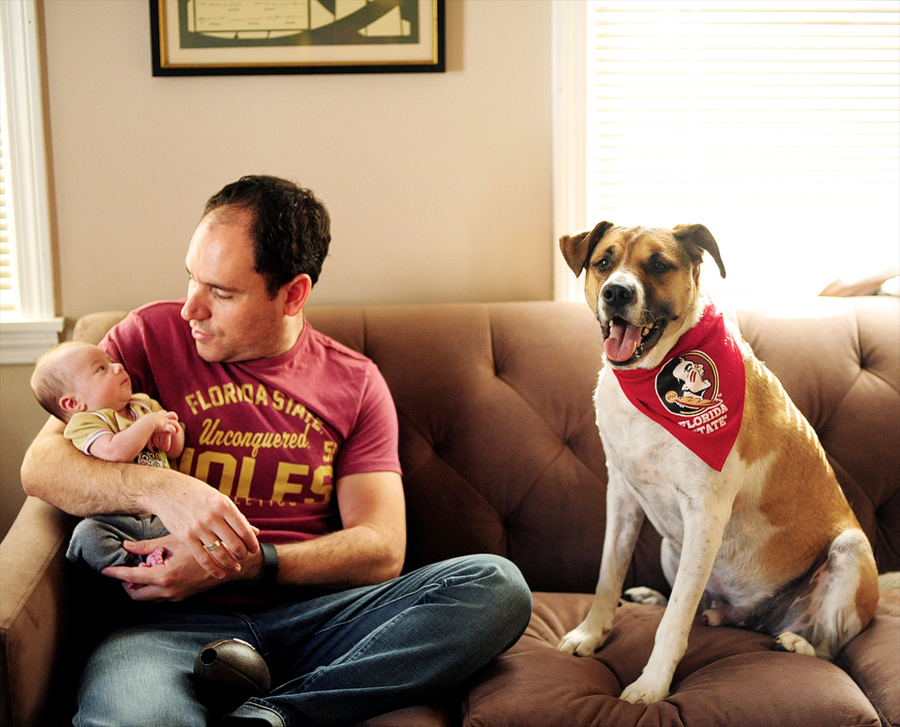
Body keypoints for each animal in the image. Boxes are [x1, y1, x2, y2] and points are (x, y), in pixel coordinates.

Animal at [556, 220, 880, 704]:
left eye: (658, 265)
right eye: (603, 262)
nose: (616, 292)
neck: (649, 378)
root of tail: (754, 617)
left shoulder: (705, 513)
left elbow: (674, 620)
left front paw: (651, 684)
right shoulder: (623, 496)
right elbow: (607, 577)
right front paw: (590, 634)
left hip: (850, 552)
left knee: (830, 645)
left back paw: (796, 641)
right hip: (672, 547)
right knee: (702, 602)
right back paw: (669, 602)